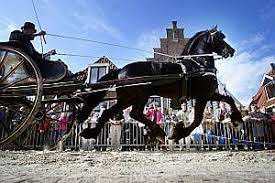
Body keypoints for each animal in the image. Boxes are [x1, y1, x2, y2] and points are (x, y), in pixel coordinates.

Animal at [78, 26, 243, 142]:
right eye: (221, 38)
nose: (232, 50)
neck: (199, 64)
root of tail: (121, 70)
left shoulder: (208, 94)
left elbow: (228, 99)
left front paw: (237, 120)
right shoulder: (202, 96)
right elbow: (197, 120)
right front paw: (178, 133)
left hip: (127, 98)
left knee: (108, 113)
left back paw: (90, 133)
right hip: (140, 95)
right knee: (134, 113)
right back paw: (158, 132)